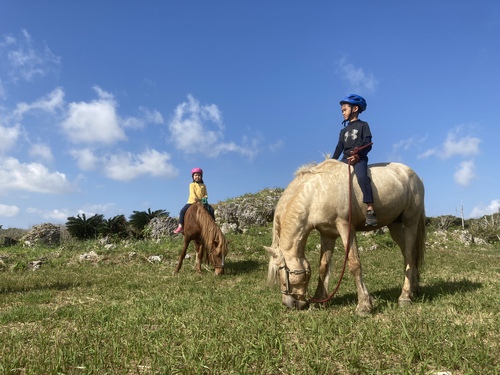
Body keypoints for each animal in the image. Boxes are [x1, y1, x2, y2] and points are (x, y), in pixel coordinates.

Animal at [266, 160, 426, 316]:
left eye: (280, 272)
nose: (288, 304)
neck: (317, 193)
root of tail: (414, 175)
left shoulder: (346, 228)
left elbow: (354, 264)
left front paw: (364, 305)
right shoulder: (327, 234)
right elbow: (323, 266)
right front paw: (319, 300)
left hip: (410, 221)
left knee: (410, 254)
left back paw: (404, 296)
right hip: (395, 225)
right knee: (407, 255)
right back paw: (413, 289)